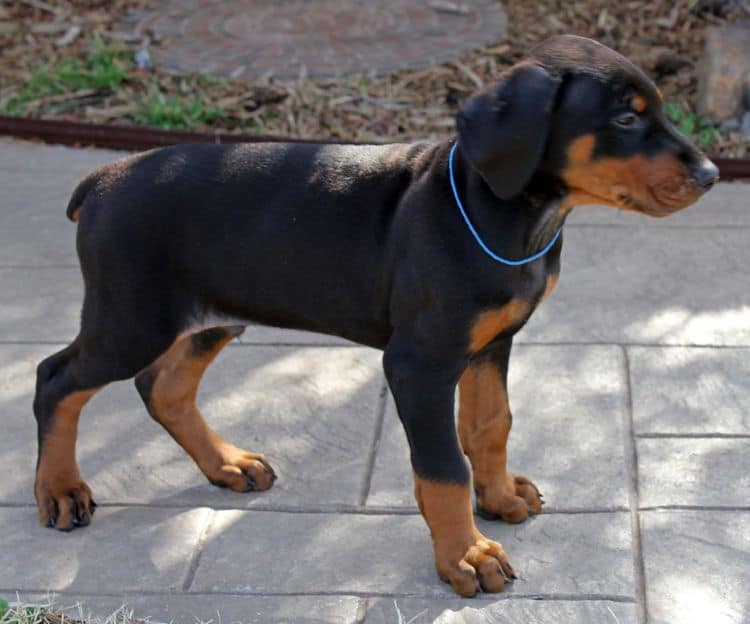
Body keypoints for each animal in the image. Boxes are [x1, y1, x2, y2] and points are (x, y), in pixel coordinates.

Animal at [33, 36, 716, 596]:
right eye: (625, 117)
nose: (711, 174)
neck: (504, 215)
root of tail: (101, 178)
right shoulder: (419, 364)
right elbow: (443, 467)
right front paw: (465, 555)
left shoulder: (491, 344)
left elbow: (490, 426)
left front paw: (498, 498)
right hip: (131, 319)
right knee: (55, 379)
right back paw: (60, 491)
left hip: (209, 315)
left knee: (162, 386)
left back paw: (227, 465)